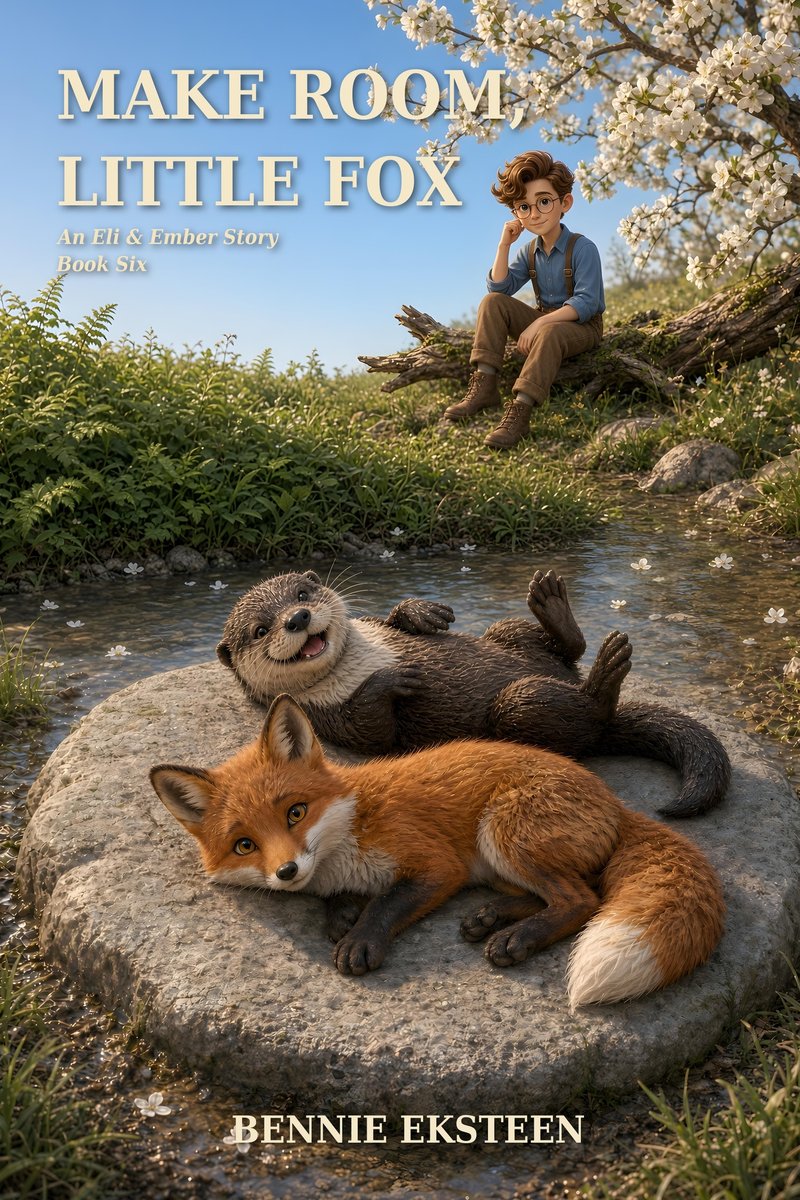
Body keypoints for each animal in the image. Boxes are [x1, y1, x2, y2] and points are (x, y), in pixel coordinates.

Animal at [150, 695, 726, 1008]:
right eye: (244, 845)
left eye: (295, 812)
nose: (287, 871)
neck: (353, 826)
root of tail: (614, 800)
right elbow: (343, 900)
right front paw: (340, 915)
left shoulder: (435, 864)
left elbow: (388, 904)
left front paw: (361, 937)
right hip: (498, 860)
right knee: (551, 894)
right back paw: (491, 917)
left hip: (504, 834)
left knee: (580, 899)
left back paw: (516, 938)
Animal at [216, 568, 730, 818]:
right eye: (260, 629)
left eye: (303, 594)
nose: (297, 619)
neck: (355, 662)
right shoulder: (326, 715)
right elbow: (373, 730)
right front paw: (393, 680)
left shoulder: (373, 625)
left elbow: (393, 615)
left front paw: (423, 612)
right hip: (521, 707)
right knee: (589, 716)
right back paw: (605, 676)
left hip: (511, 636)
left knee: (547, 642)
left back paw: (555, 609)